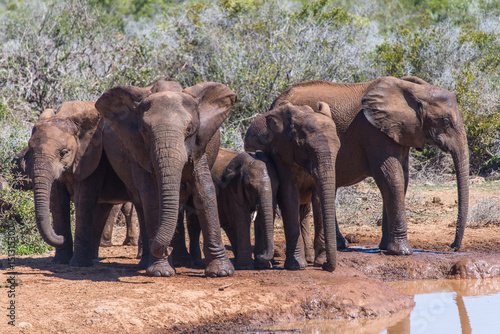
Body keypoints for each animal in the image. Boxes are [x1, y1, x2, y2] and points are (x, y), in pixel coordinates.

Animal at [28, 102, 132, 266]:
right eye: (30, 150)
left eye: (64, 152)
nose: (61, 238)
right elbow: (58, 203)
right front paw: (61, 261)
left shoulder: (93, 157)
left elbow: (83, 200)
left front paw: (78, 264)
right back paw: (93, 257)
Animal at [98, 79, 239, 278]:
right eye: (144, 130)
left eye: (190, 129)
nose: (166, 249)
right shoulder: (139, 149)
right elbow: (151, 197)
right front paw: (160, 271)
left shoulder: (198, 147)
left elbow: (204, 191)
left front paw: (222, 272)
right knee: (141, 204)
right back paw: (148, 263)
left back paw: (182, 262)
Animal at [243, 101, 340, 272]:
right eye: (306, 149)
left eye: (338, 149)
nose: (326, 266)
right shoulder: (280, 151)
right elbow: (288, 196)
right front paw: (296, 265)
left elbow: (318, 199)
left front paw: (320, 262)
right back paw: (266, 263)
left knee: (304, 211)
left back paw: (308, 258)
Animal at [266, 75, 468, 256]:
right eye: (446, 121)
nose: (452, 246)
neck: (413, 90)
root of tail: (274, 102)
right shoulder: (374, 132)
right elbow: (391, 176)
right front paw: (402, 252)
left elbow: (402, 178)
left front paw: (386, 247)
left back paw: (341, 245)